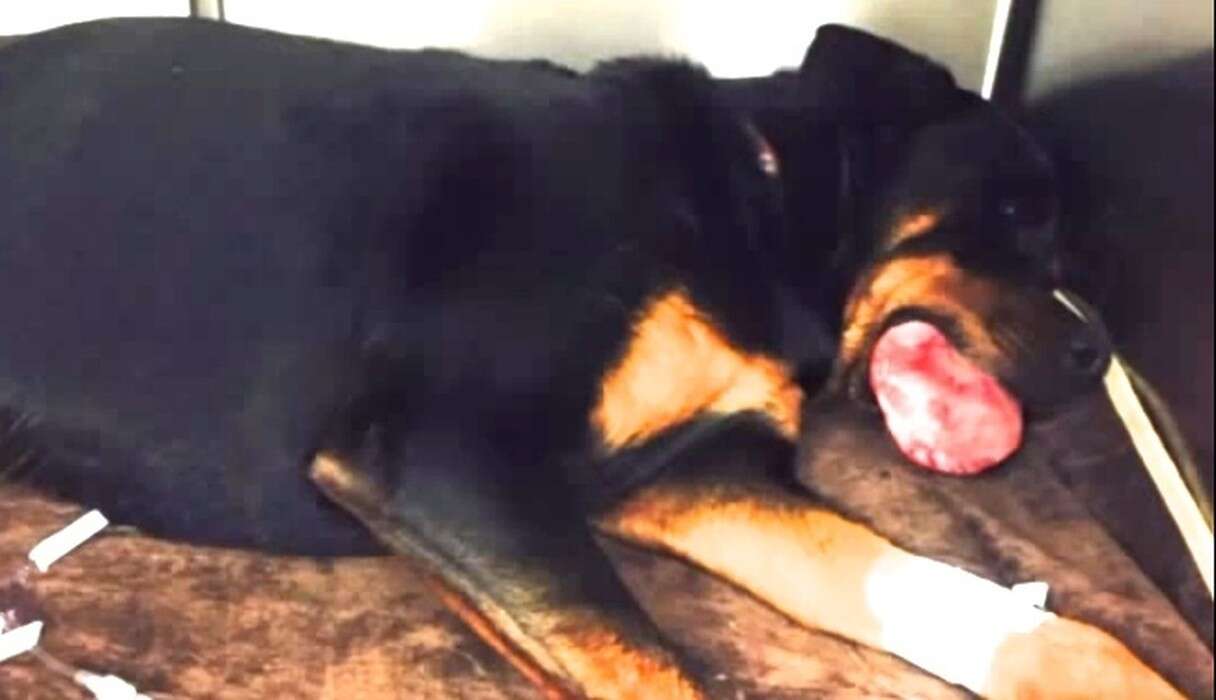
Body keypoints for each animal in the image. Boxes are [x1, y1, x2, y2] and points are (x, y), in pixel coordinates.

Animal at [0, 18, 1186, 698]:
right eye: (1018, 214)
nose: (1096, 352)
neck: (754, 204)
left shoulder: (688, 471)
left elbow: (920, 583)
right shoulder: (438, 454)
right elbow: (654, 667)